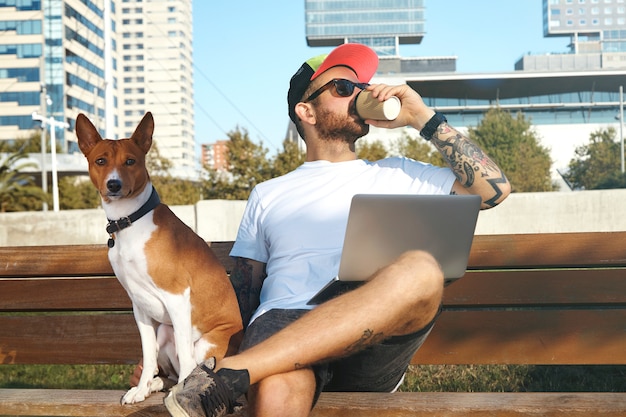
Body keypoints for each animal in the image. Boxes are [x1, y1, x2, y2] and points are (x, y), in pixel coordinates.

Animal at [77, 110, 243, 404]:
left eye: (130, 161)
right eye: (101, 161)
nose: (114, 184)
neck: (130, 222)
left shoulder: (177, 296)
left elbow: (187, 363)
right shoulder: (139, 306)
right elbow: (148, 355)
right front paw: (142, 387)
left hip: (203, 342)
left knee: (189, 364)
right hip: (165, 331)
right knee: (167, 370)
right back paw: (154, 385)